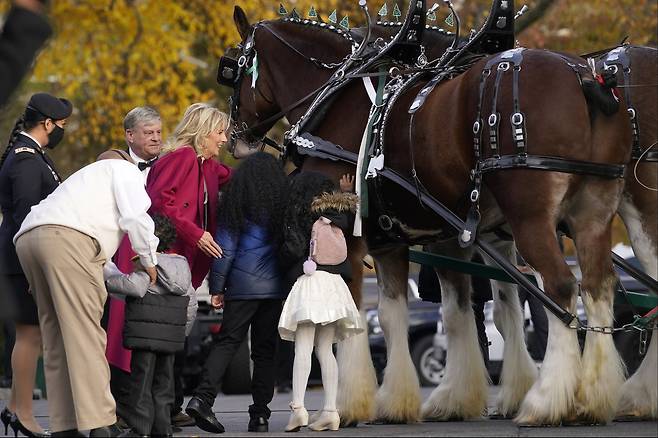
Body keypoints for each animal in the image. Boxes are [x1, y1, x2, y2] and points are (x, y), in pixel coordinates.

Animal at [226, 6, 632, 424]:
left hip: (530, 219)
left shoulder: (348, 238)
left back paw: (547, 400)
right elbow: (419, 316)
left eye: (232, 69)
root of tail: (585, 77)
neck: (337, 100)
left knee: (561, 288)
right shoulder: (406, 240)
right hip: (591, 214)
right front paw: (420, 400)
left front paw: (346, 405)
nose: (234, 137)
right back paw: (593, 397)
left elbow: (353, 317)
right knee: (597, 286)